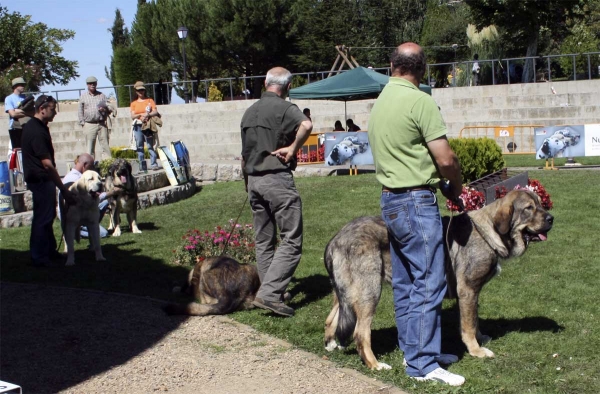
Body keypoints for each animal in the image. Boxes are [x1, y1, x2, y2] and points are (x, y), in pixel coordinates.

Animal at [324, 189, 552, 370]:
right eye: (529, 208)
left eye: (541, 204)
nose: (551, 218)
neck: (489, 232)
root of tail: (336, 239)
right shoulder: (468, 290)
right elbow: (469, 325)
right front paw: (477, 350)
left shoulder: (470, 294)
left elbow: (474, 320)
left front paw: (481, 338)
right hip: (369, 293)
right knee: (361, 334)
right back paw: (375, 364)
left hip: (345, 294)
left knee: (332, 319)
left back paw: (332, 344)